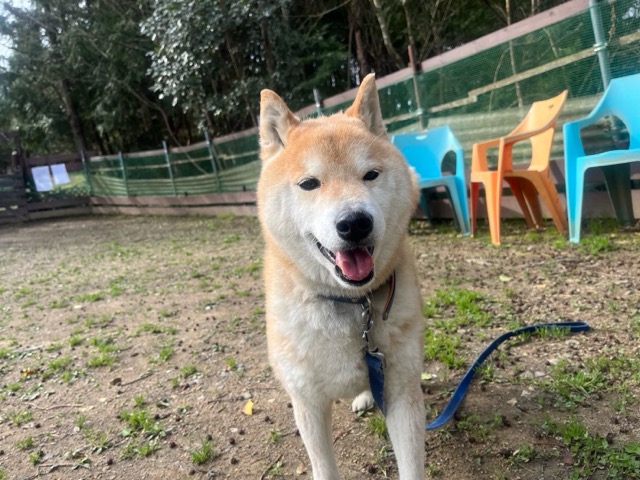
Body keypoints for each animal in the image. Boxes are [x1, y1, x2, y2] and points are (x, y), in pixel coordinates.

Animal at [257, 74, 425, 479]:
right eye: (309, 183)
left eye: (370, 175)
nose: (354, 223)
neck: (352, 303)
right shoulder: (307, 402)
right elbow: (323, 466)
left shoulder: (402, 392)